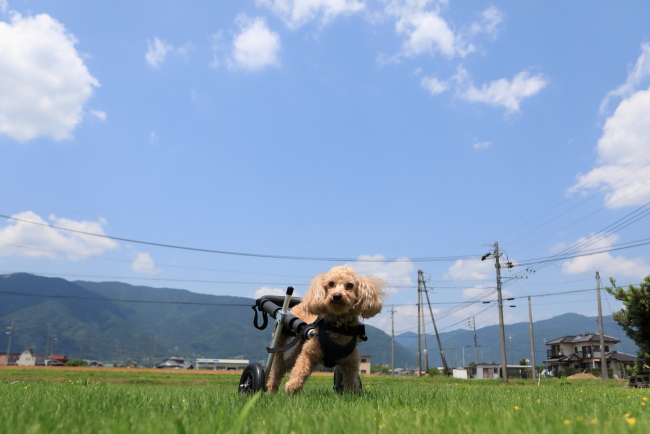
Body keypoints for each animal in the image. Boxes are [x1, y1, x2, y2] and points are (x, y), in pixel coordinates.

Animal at [264, 264, 384, 396]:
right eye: (331, 283)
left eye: (350, 285)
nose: (337, 296)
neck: (337, 326)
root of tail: (299, 304)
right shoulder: (309, 354)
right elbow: (300, 369)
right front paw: (292, 388)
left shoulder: (350, 362)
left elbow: (351, 380)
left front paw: (351, 394)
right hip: (283, 332)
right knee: (277, 362)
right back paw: (270, 387)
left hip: (301, 345)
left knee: (286, 364)